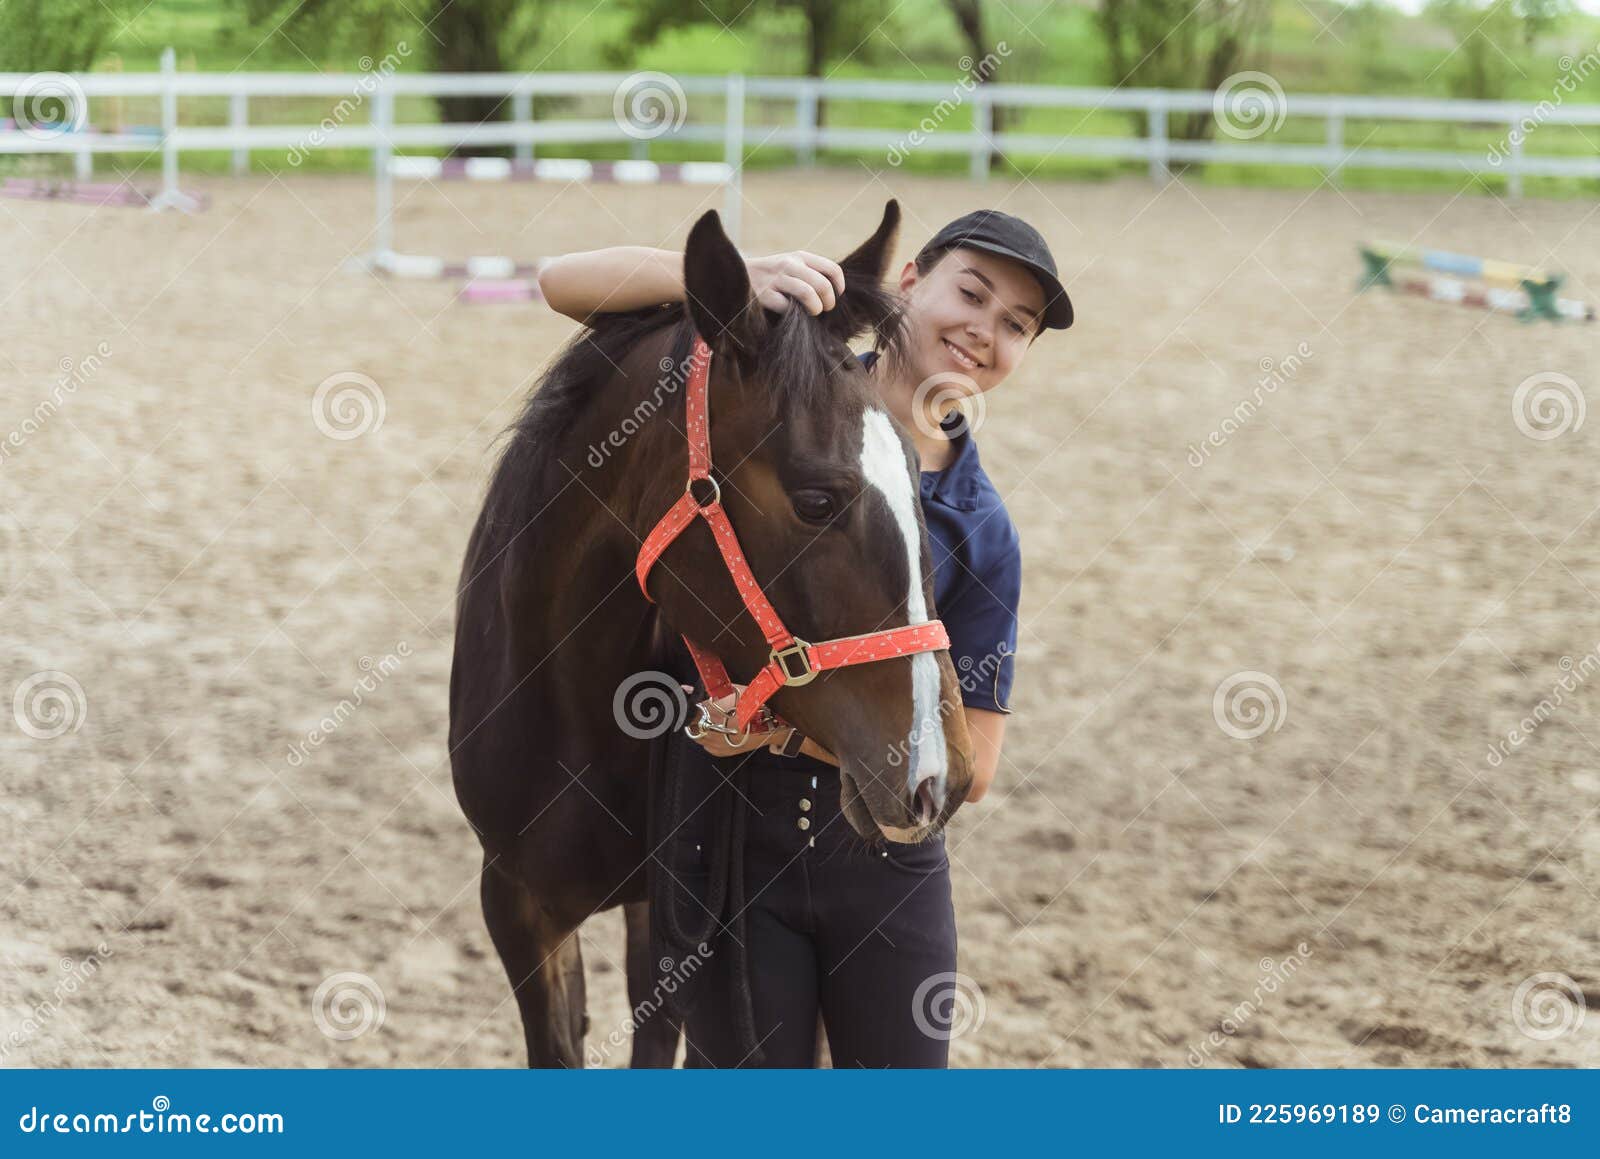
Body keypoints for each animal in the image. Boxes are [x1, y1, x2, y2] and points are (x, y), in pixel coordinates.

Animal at [448, 201, 972, 1069]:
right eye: (816, 500)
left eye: (915, 473)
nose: (939, 773)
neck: (572, 715)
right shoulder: (517, 905)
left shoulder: (673, 922)